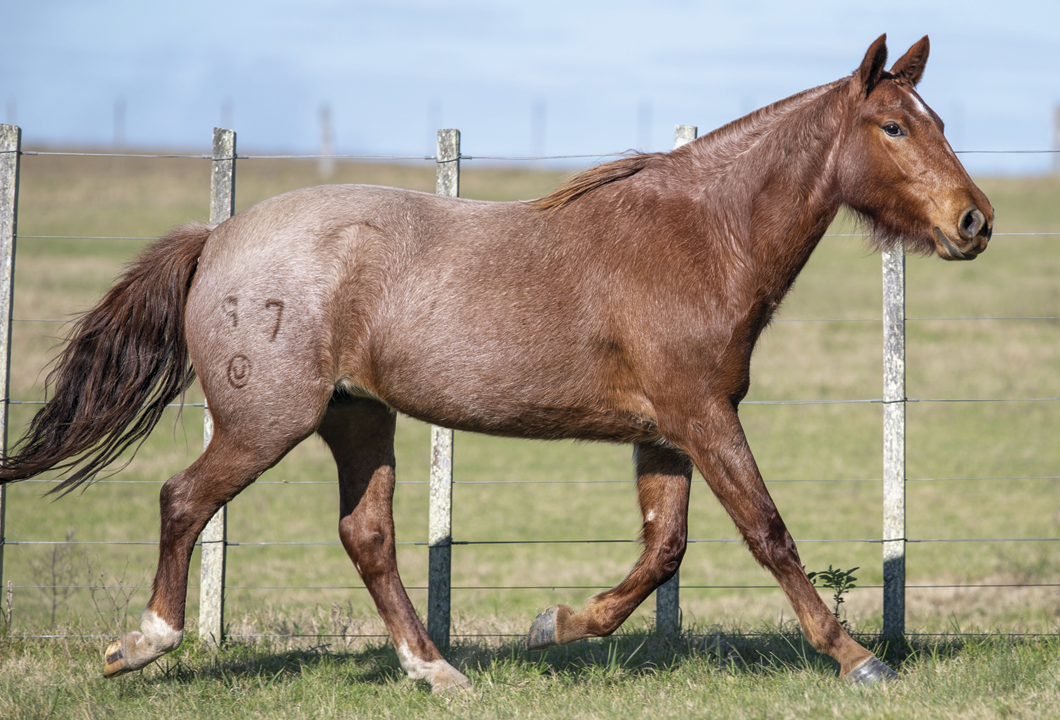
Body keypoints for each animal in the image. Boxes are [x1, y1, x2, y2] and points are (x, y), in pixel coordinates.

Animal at [0, 33, 992, 691]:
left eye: (936, 119)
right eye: (894, 127)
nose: (974, 220)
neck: (702, 236)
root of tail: (217, 239)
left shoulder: (670, 430)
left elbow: (663, 551)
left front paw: (558, 623)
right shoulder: (705, 417)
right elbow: (768, 533)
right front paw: (859, 660)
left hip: (358, 416)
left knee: (367, 537)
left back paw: (436, 671)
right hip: (266, 421)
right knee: (185, 500)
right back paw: (144, 645)